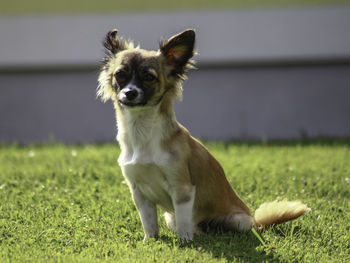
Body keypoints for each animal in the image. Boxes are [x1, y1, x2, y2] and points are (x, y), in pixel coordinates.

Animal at [98, 28, 308, 241]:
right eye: (120, 75)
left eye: (149, 77)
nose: (130, 93)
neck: (141, 131)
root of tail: (257, 224)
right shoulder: (139, 192)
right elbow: (148, 222)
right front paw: (150, 241)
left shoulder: (181, 188)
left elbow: (184, 221)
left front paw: (185, 241)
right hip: (169, 217)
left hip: (238, 221)